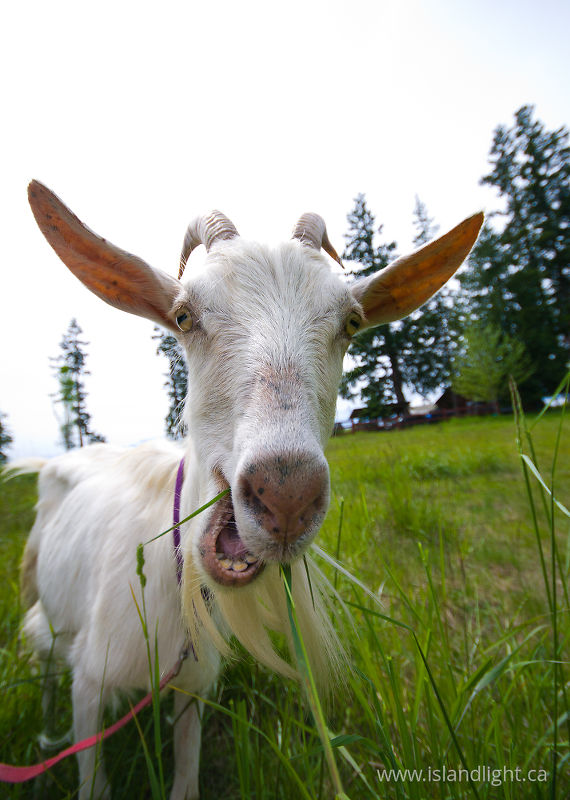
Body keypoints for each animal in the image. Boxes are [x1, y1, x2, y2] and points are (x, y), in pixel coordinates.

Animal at [20, 181, 483, 799]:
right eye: (183, 315)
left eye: (351, 323)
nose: (286, 494)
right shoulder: (90, 686)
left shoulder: (192, 686)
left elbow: (186, 776)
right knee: (46, 665)